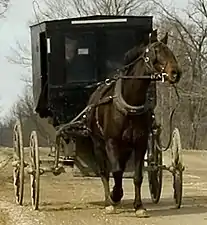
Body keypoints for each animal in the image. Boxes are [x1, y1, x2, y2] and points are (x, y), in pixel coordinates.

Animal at [87, 29, 181, 217]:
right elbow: (115, 172)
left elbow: (137, 176)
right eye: (156, 51)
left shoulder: (140, 143)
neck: (129, 104)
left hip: (125, 148)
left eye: (170, 51)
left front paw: (139, 206)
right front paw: (114, 196)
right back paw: (109, 200)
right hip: (99, 143)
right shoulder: (111, 142)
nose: (176, 73)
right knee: (104, 171)